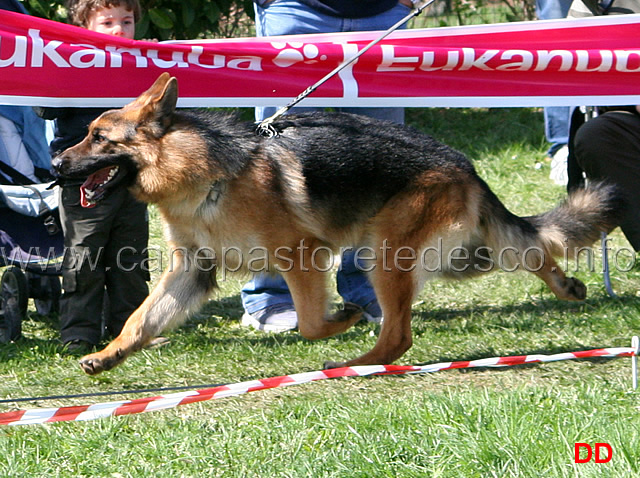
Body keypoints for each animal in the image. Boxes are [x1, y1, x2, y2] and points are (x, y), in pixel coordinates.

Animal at [52, 73, 624, 376]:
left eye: (99, 138)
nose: (55, 164)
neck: (203, 176)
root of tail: (463, 164)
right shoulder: (190, 271)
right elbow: (140, 319)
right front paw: (108, 354)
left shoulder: (302, 256)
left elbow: (309, 323)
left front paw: (340, 318)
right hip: (458, 254)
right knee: (529, 249)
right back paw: (566, 286)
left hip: (385, 256)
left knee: (399, 335)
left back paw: (360, 358)